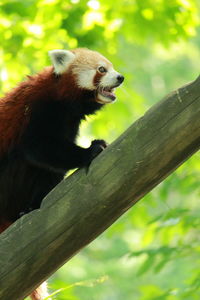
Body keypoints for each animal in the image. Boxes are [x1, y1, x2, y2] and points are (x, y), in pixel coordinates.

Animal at [0, 48, 124, 298]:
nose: (120, 77)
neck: (63, 100)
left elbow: (53, 164)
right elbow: (38, 148)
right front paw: (91, 150)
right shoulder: (38, 110)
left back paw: (27, 208)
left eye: (111, 67)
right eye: (102, 69)